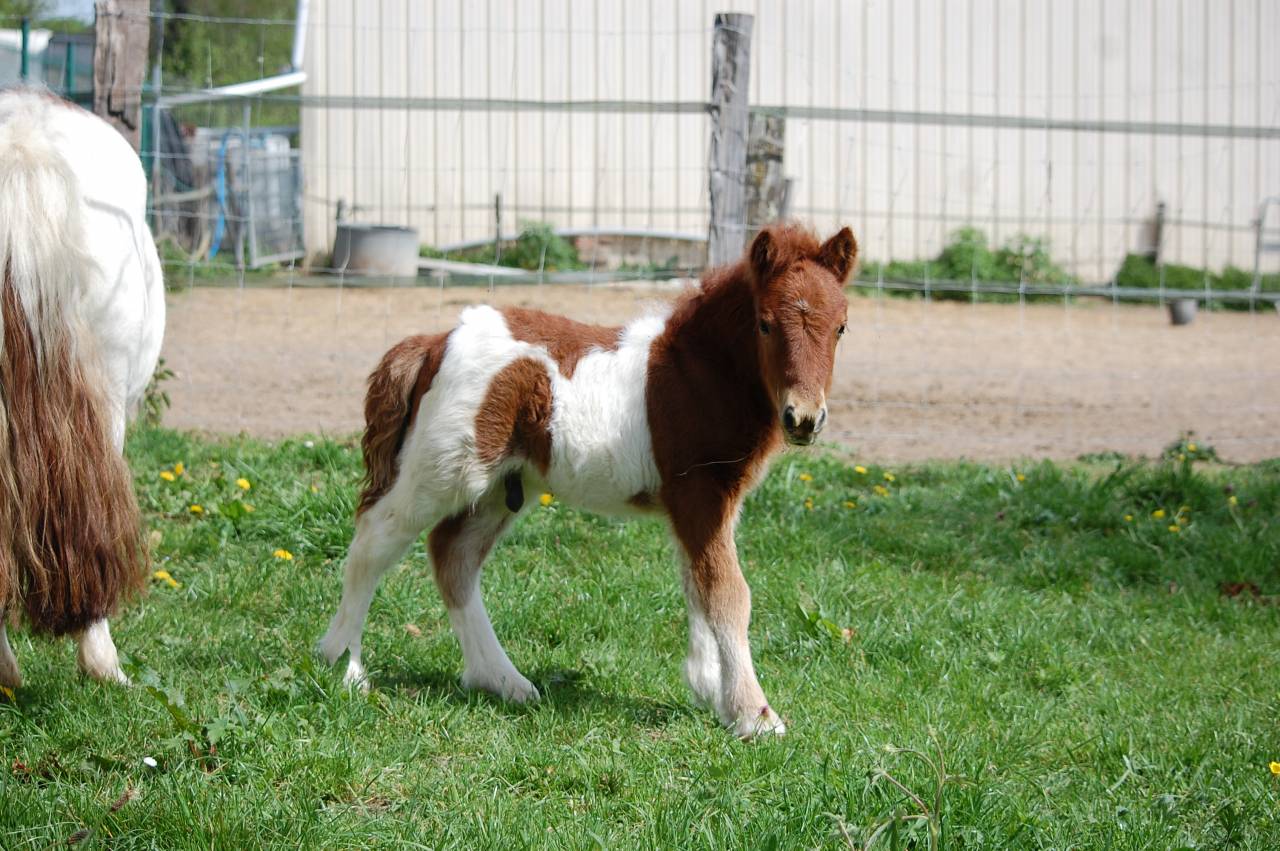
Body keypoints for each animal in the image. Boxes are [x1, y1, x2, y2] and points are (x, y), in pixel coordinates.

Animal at [318, 223, 856, 737]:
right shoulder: (700, 493)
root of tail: (432, 343)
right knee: (375, 540)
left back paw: (502, 680)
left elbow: (698, 583)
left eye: (841, 327)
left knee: (453, 555)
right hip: (444, 470)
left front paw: (708, 691)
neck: (697, 372)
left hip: (499, 487)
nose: (804, 418)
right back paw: (343, 665)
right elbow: (728, 593)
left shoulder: (702, 505)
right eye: (765, 323)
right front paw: (754, 715)